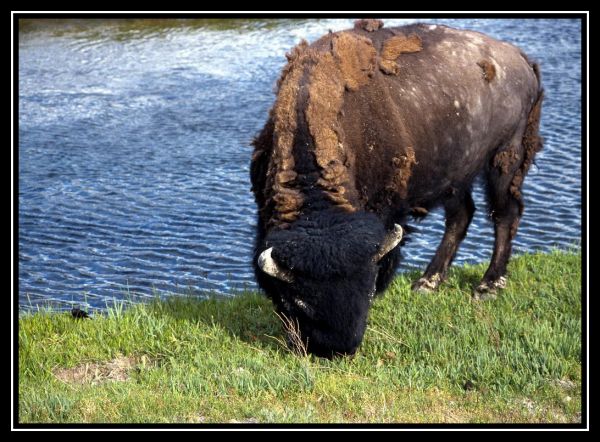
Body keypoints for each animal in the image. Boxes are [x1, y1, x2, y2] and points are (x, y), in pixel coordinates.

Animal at [248, 21, 544, 360]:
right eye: (299, 301)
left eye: (367, 286)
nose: (339, 348)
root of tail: (520, 58)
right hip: (456, 175)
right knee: (461, 217)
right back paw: (427, 282)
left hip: (505, 160)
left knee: (505, 215)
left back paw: (488, 286)